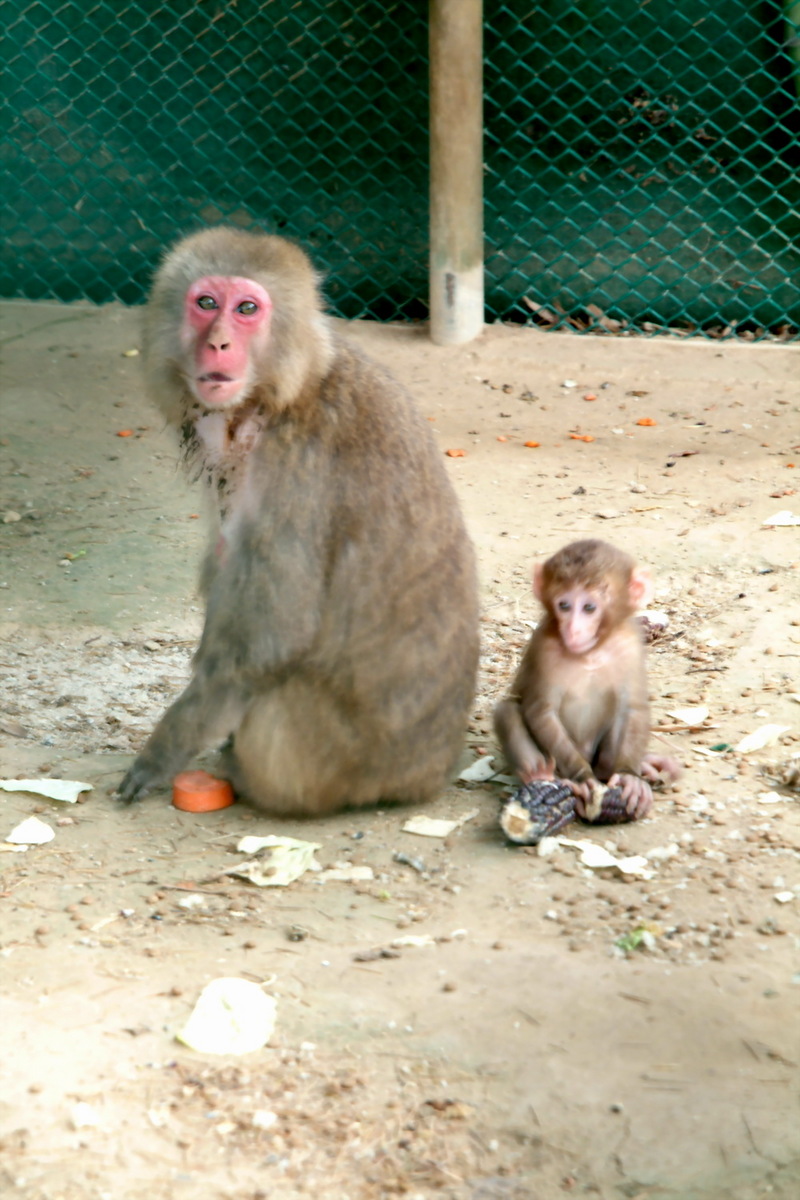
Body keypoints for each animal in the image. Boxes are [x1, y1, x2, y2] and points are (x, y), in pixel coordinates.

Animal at [117, 226, 482, 816]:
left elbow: (272, 634)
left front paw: (163, 750)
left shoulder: (295, 467)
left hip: (327, 763)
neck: (281, 394)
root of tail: (428, 778)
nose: (218, 343)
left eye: (246, 309)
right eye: (206, 303)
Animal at [496, 540, 681, 820]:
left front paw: (630, 777)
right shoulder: (545, 647)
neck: (591, 652)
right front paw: (582, 778)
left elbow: (633, 708)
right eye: (564, 605)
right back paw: (540, 773)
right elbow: (541, 712)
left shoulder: (630, 646)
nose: (573, 630)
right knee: (507, 710)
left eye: (589, 608)